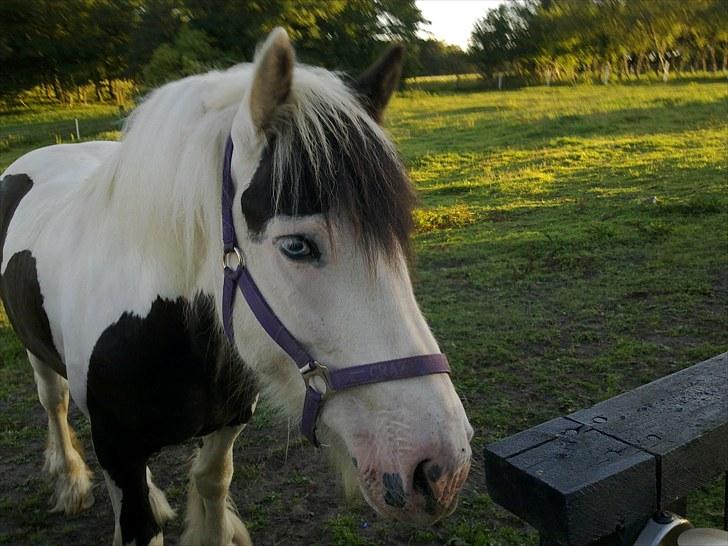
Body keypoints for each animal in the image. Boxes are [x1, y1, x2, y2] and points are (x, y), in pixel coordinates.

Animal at [0, 29, 472, 544]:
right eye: (296, 246)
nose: (441, 469)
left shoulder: (226, 422)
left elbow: (211, 479)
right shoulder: (117, 448)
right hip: (37, 354)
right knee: (54, 401)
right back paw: (70, 482)